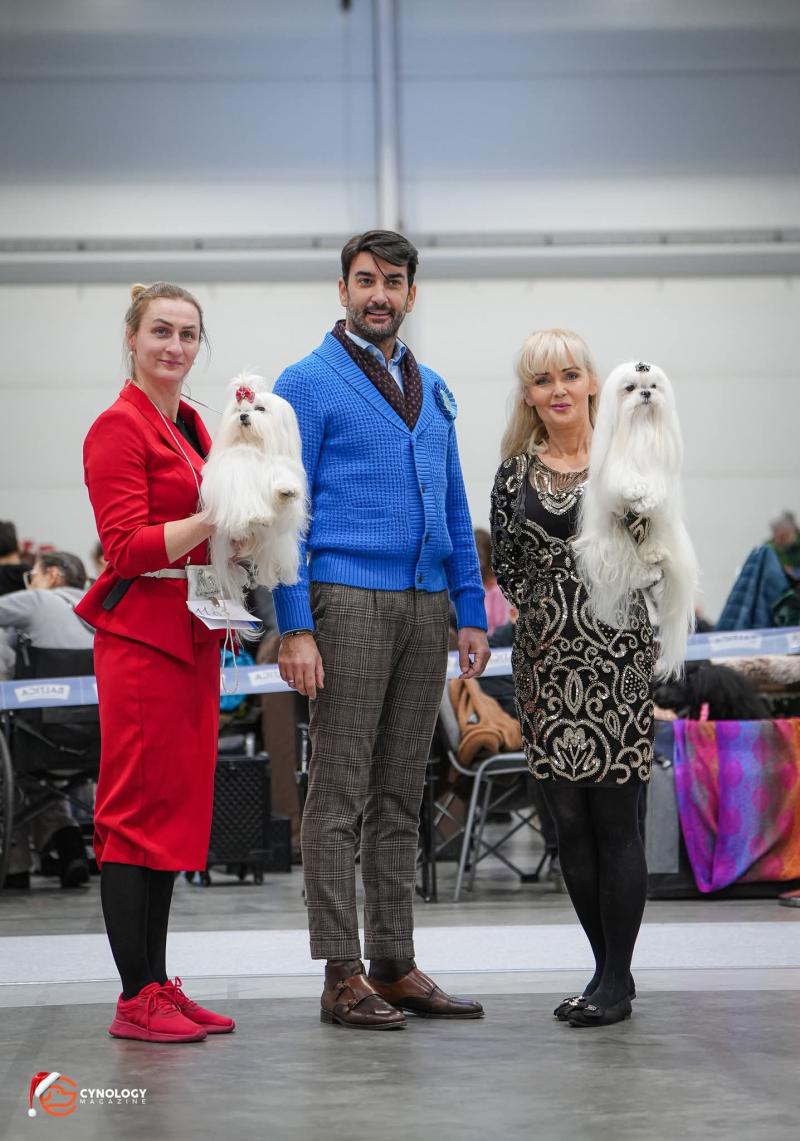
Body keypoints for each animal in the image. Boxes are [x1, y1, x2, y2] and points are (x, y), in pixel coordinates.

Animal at [201, 374, 307, 611]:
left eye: (260, 408)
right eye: (237, 409)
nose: (243, 416)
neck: (253, 446)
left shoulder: (278, 466)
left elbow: (281, 479)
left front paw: (286, 490)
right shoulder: (236, 472)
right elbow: (244, 496)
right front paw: (255, 516)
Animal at [573, 360, 698, 679]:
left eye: (653, 386)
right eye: (629, 388)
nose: (645, 393)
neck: (640, 430)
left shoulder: (659, 473)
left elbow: (654, 490)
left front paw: (646, 497)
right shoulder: (616, 471)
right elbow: (624, 482)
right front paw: (634, 491)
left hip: (665, 539)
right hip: (614, 544)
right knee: (637, 569)